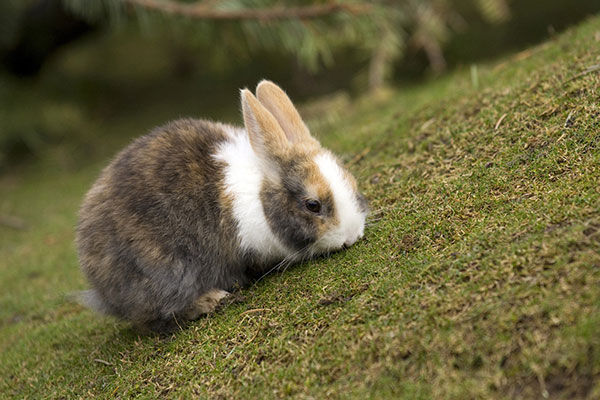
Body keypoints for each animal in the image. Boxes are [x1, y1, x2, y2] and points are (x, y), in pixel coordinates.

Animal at [77, 80, 368, 332]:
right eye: (312, 205)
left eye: (351, 181)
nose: (352, 236)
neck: (261, 197)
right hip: (166, 273)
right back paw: (211, 300)